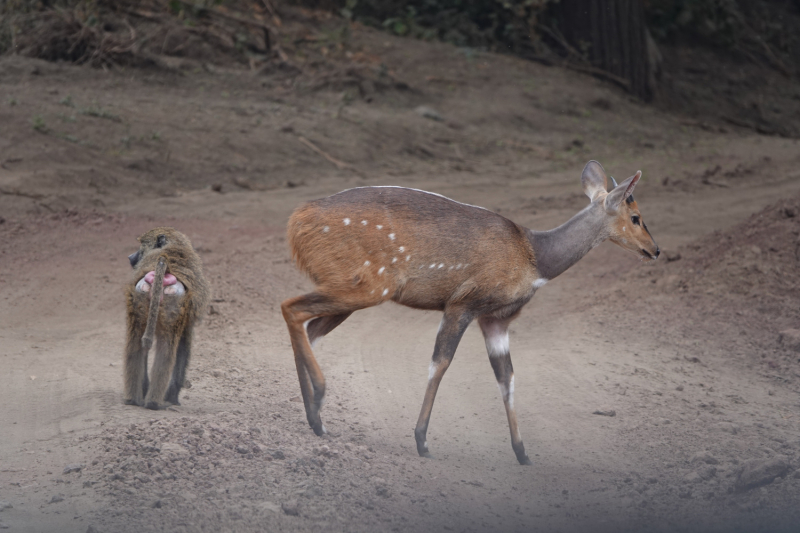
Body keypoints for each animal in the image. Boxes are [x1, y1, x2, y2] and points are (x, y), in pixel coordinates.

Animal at [284, 160, 660, 464]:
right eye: (636, 217)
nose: (655, 250)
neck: (536, 258)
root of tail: (296, 221)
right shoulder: (464, 302)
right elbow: (440, 363)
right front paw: (422, 442)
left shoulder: (496, 319)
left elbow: (506, 377)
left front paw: (522, 453)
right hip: (365, 284)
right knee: (291, 308)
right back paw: (319, 398)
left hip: (353, 288)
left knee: (309, 329)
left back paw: (316, 418)